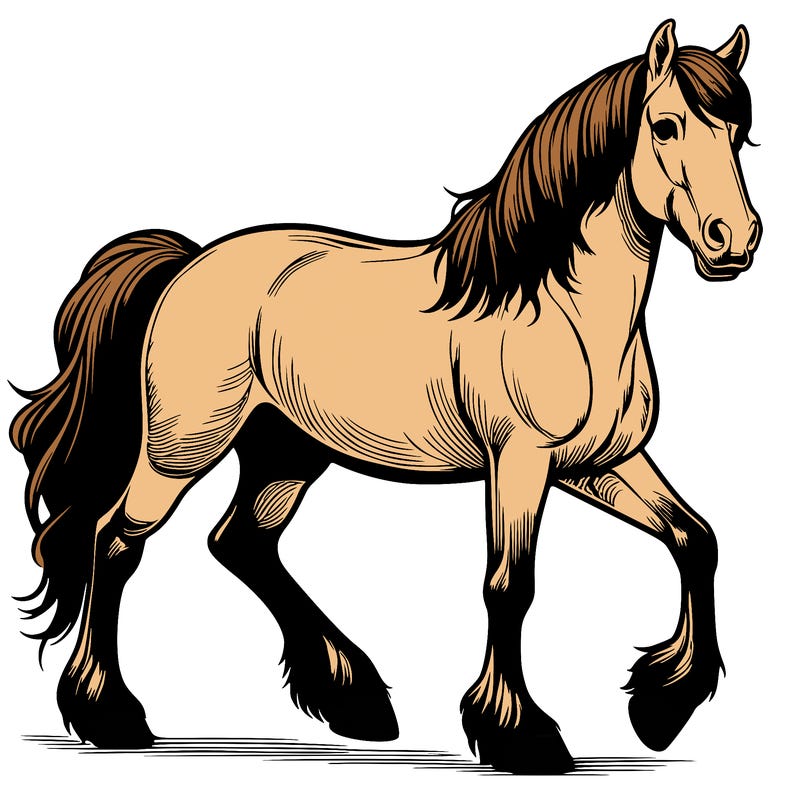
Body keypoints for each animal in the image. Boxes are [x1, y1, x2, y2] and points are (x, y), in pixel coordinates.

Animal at [10, 20, 760, 774]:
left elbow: (696, 539)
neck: (558, 307)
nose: (735, 240)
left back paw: (354, 700)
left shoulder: (599, 464)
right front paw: (521, 734)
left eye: (738, 132)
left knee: (241, 542)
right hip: (181, 449)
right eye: (665, 126)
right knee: (115, 542)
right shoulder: (520, 463)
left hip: (286, 452)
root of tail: (187, 264)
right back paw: (112, 716)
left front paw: (661, 708)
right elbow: (509, 586)